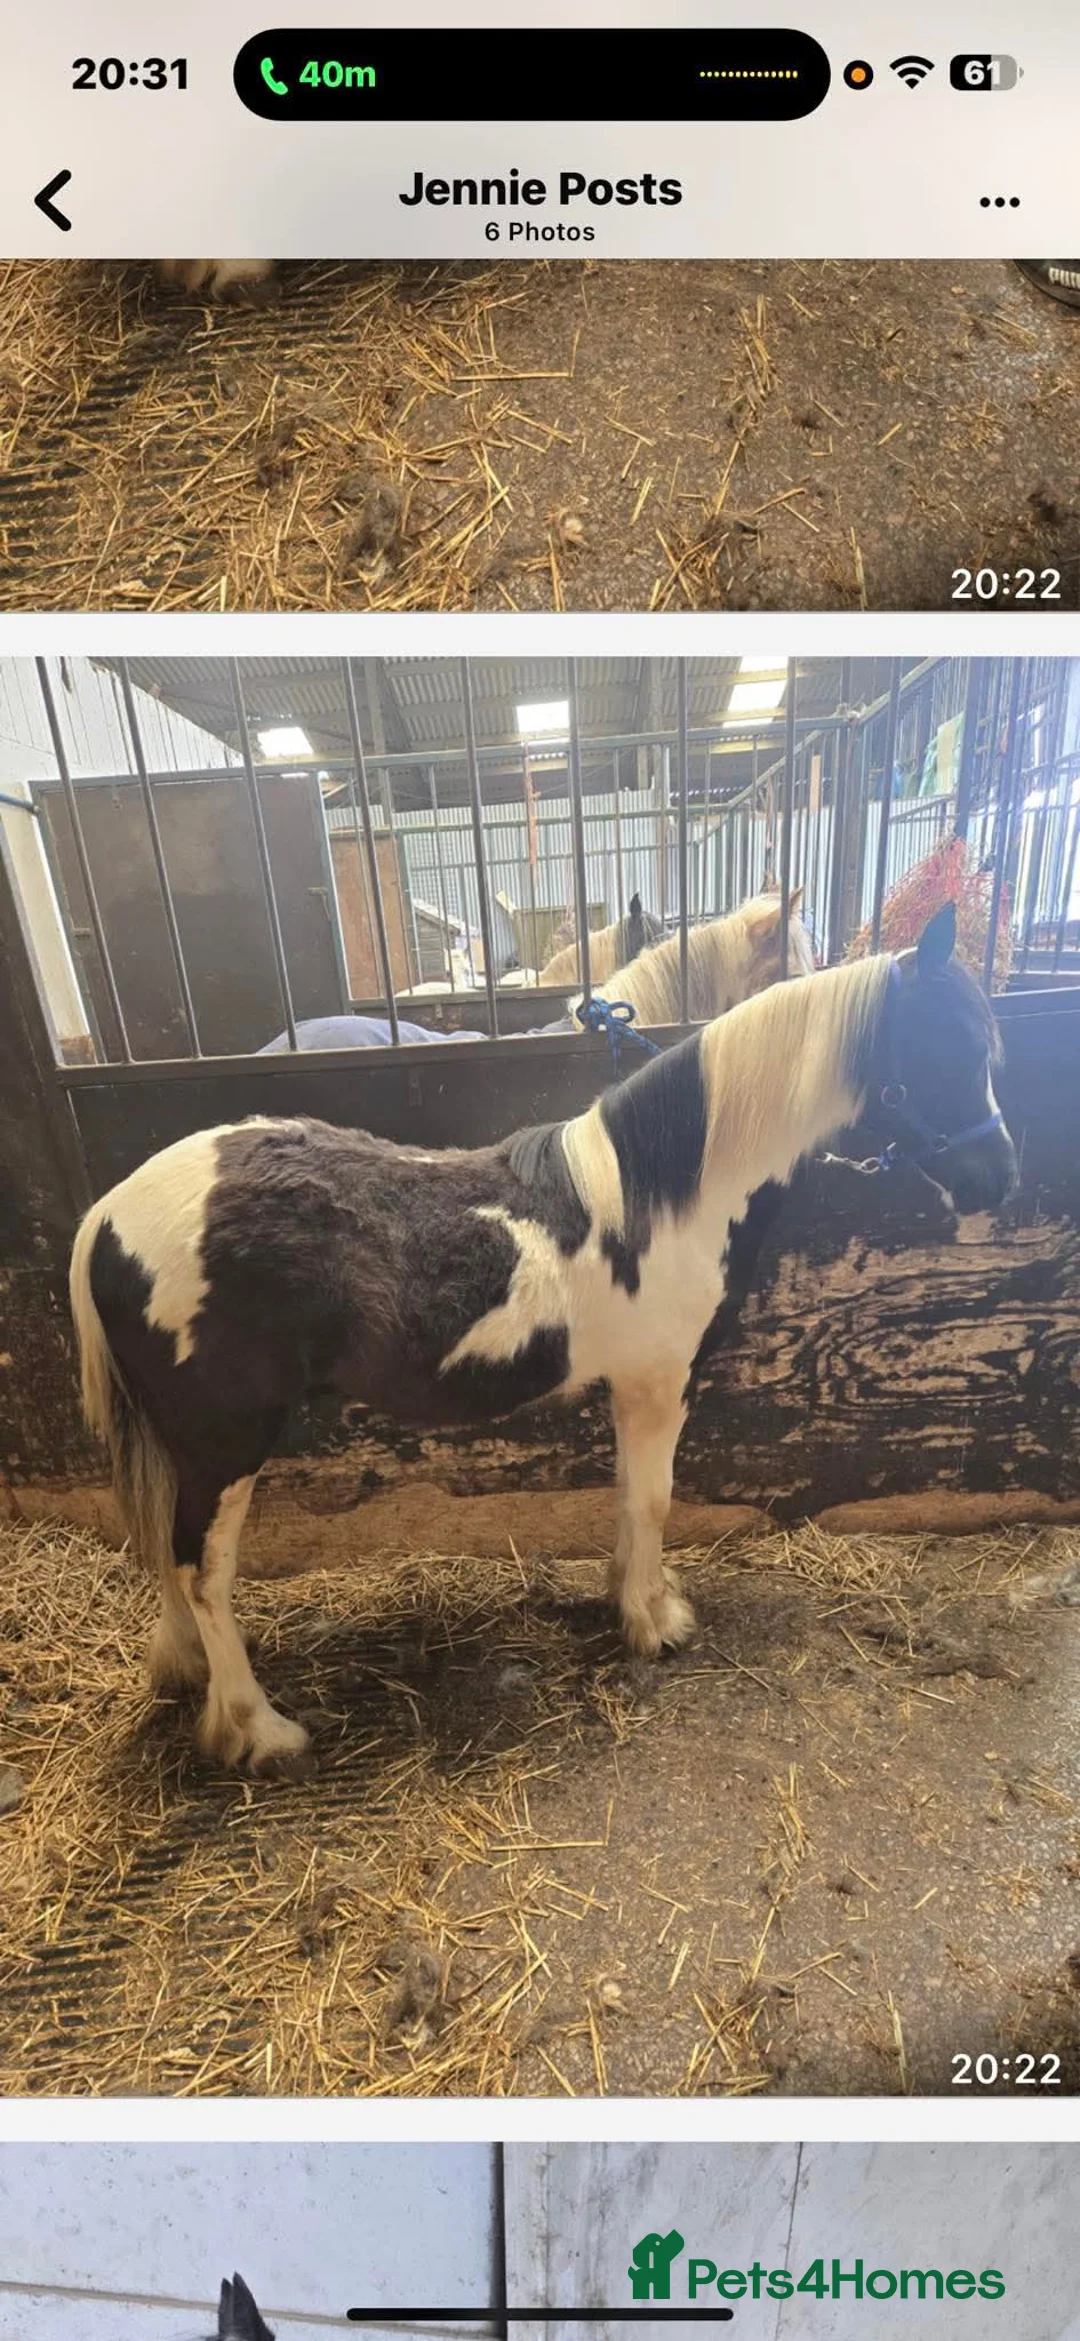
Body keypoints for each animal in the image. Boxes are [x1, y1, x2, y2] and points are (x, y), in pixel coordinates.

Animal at [69, 903, 1015, 1775]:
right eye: (956, 1047)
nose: (1000, 1180)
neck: (663, 1198)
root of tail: (105, 1213)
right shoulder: (660, 1383)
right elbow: (653, 1499)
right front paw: (655, 1623)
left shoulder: (633, 1387)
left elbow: (628, 1497)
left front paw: (632, 1601)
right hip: (226, 1441)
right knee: (201, 1568)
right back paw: (256, 1728)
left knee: (171, 1558)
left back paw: (189, 1672)